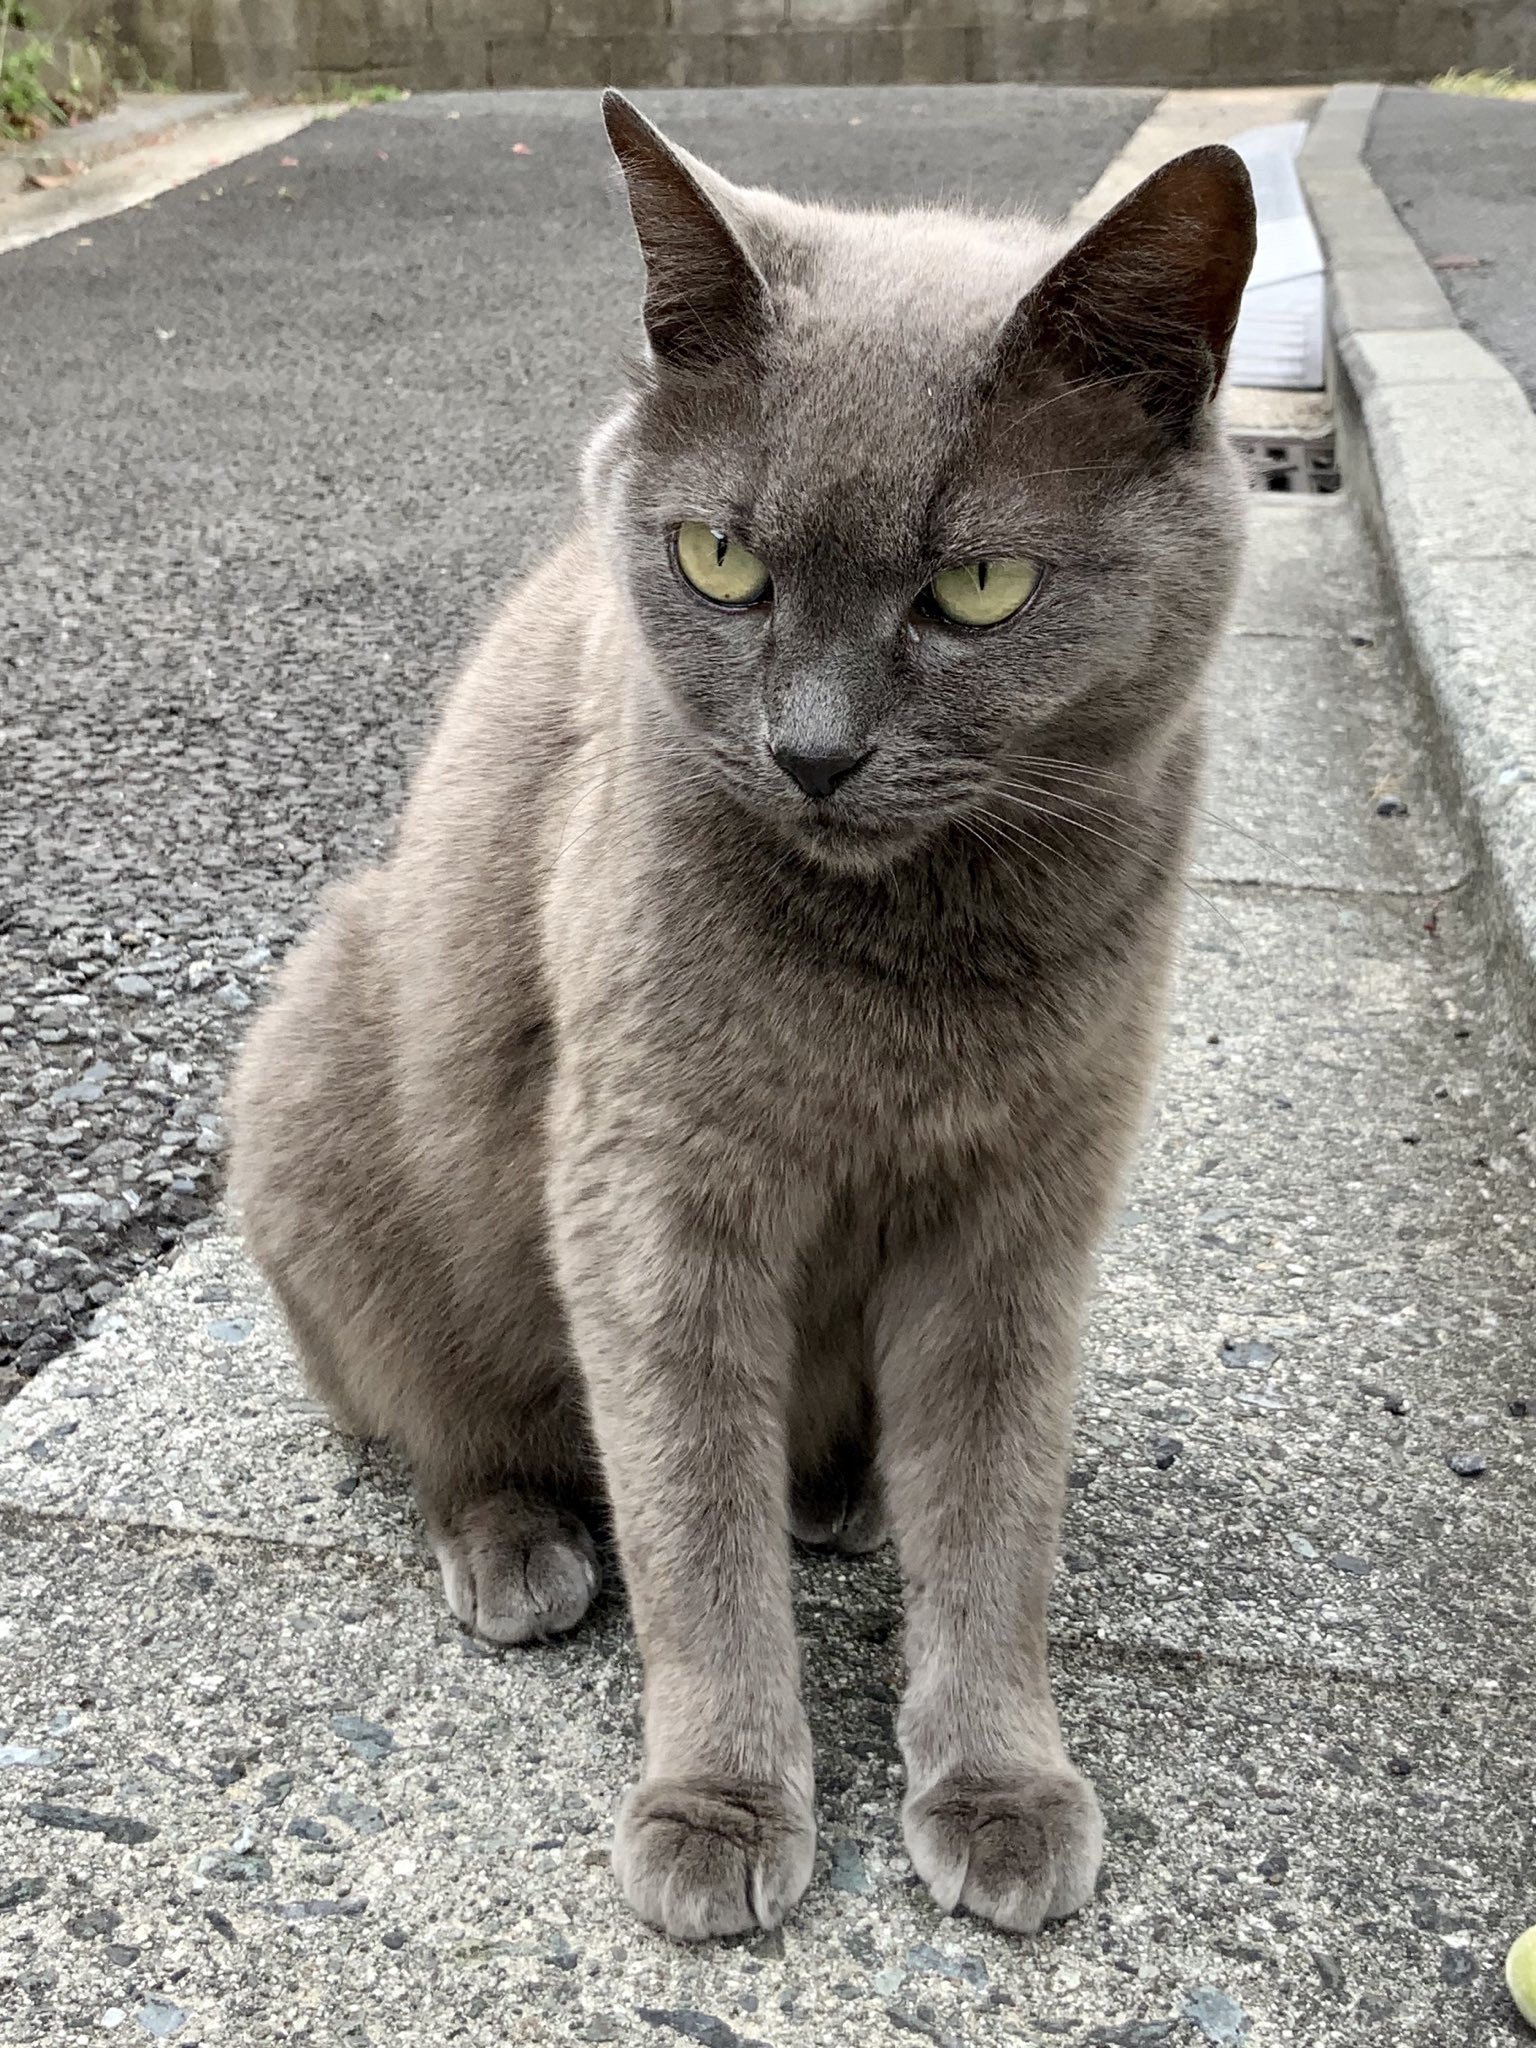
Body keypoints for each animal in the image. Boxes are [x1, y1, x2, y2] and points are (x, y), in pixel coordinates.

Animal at [231, 96, 1261, 1941]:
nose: (814, 750)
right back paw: (519, 1549)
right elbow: (693, 1518)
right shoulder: (653, 1189)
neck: (907, 975)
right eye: (721, 560)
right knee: (441, 1419)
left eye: (977, 587)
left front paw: (998, 1786)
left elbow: (997, 1510)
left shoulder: (1025, 1214)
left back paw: (847, 1496)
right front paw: (717, 1806)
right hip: (320, 1061)